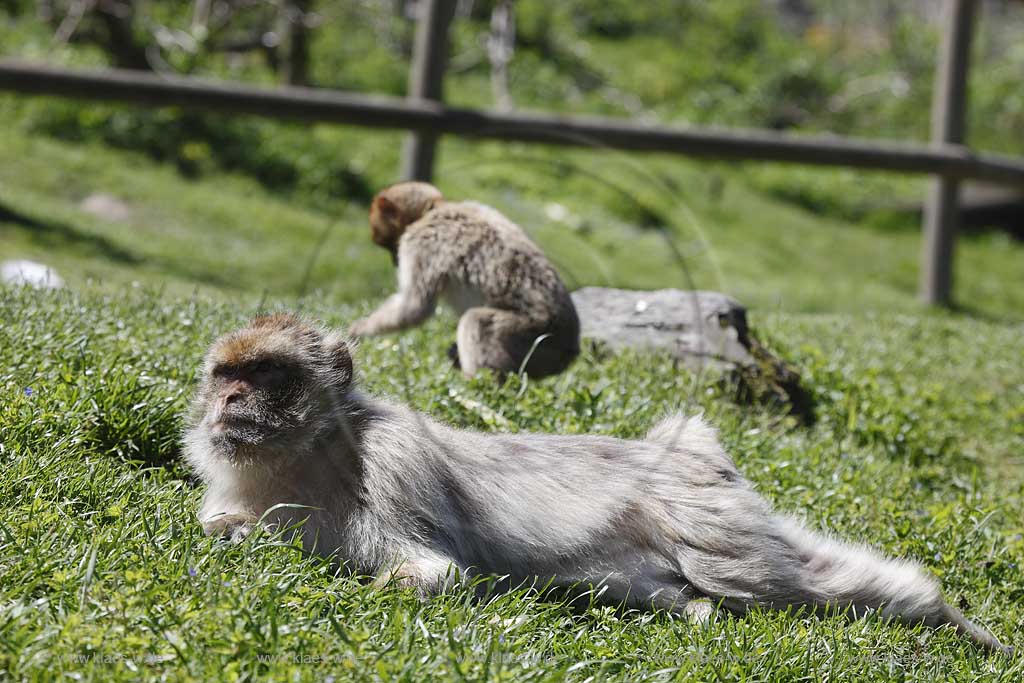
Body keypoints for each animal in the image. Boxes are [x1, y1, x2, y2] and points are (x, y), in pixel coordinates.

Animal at [186, 315, 1015, 655]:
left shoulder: (393, 464)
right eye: (226, 374)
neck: (308, 455)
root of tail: (687, 450)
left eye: (268, 374)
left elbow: (430, 572)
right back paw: (694, 612)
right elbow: (216, 525)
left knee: (782, 582)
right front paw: (237, 532)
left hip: (712, 520)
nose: (231, 401)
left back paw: (943, 613)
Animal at [348, 181, 581, 378]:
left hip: (537, 339)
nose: (394, 261)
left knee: (476, 321)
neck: (435, 210)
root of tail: (571, 351)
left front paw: (358, 330)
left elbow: (414, 308)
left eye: (389, 245)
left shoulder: (421, 242)